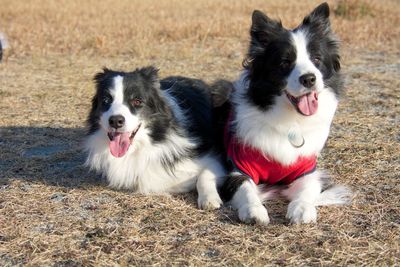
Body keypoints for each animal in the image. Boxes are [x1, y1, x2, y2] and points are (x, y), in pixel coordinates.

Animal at [84, 66, 225, 209]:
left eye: (137, 101)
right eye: (106, 101)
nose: (115, 121)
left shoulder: (213, 157)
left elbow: (205, 175)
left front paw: (209, 199)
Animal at [217, 3, 352, 225]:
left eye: (317, 59)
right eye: (285, 62)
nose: (309, 79)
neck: (291, 121)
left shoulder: (306, 170)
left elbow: (308, 188)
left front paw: (302, 208)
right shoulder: (239, 167)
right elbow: (245, 188)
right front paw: (254, 210)